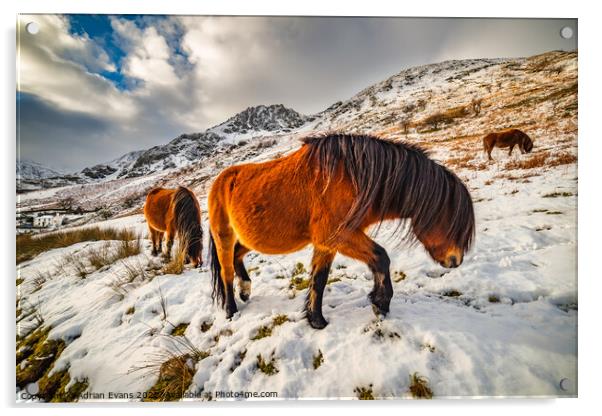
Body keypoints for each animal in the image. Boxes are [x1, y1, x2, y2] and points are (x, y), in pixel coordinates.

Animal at [206, 133, 474, 328]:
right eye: (451, 220)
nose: (455, 260)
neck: (353, 178)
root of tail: (220, 180)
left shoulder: (328, 243)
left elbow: (319, 279)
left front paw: (316, 320)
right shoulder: (337, 236)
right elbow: (381, 257)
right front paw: (380, 304)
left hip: (247, 239)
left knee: (237, 256)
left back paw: (245, 289)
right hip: (224, 236)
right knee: (226, 271)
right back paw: (231, 310)